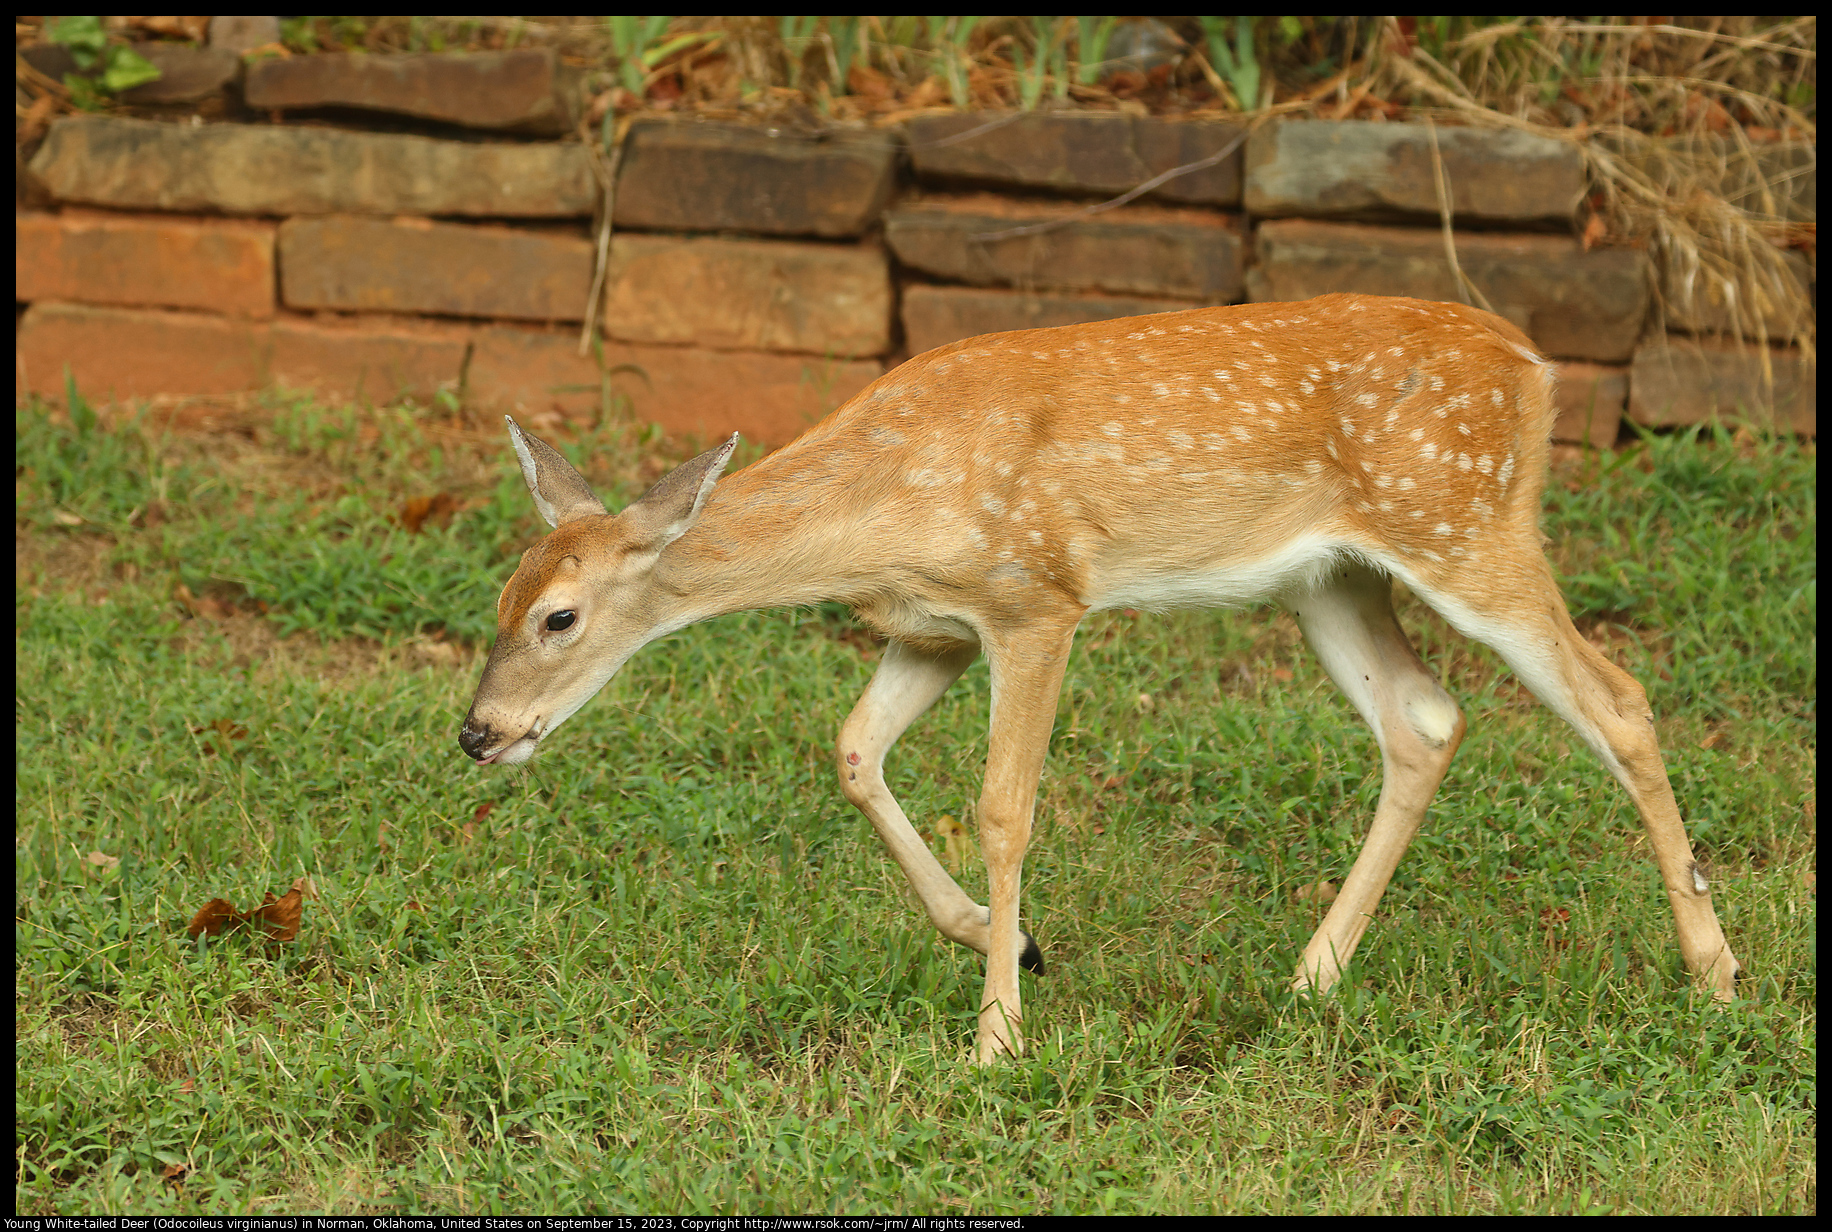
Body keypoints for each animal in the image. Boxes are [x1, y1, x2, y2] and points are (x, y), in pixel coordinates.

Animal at [461, 293, 1744, 1063]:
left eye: (561, 616)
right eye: (498, 600)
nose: (478, 731)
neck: (881, 511)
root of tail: (1531, 364)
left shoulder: (1036, 596)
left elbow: (1002, 805)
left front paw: (996, 1035)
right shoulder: (932, 628)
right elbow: (851, 749)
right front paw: (1004, 939)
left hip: (1463, 522)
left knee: (1615, 698)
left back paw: (1714, 972)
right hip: (1333, 575)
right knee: (1422, 717)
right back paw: (1310, 976)